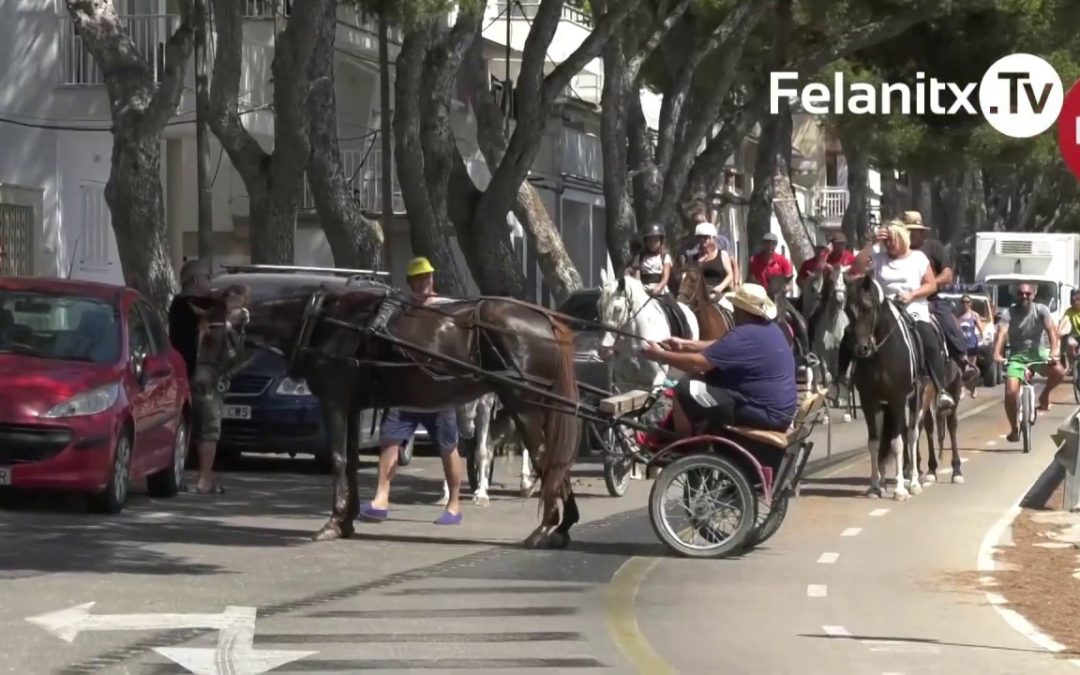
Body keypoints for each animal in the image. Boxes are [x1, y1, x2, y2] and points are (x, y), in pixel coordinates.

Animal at [218, 282, 583, 548]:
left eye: (212, 332)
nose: (222, 387)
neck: (324, 322)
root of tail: (545, 320)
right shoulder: (353, 407)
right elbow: (351, 461)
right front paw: (348, 520)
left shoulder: (334, 402)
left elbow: (337, 459)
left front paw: (333, 523)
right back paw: (563, 525)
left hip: (524, 403)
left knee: (546, 458)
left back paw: (547, 527)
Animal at [842, 274, 928, 501]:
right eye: (847, 309)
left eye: (868, 307)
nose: (861, 349)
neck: (881, 354)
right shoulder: (869, 402)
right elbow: (874, 442)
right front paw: (874, 487)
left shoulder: (897, 399)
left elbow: (898, 443)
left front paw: (900, 490)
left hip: (916, 399)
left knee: (912, 434)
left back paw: (913, 482)